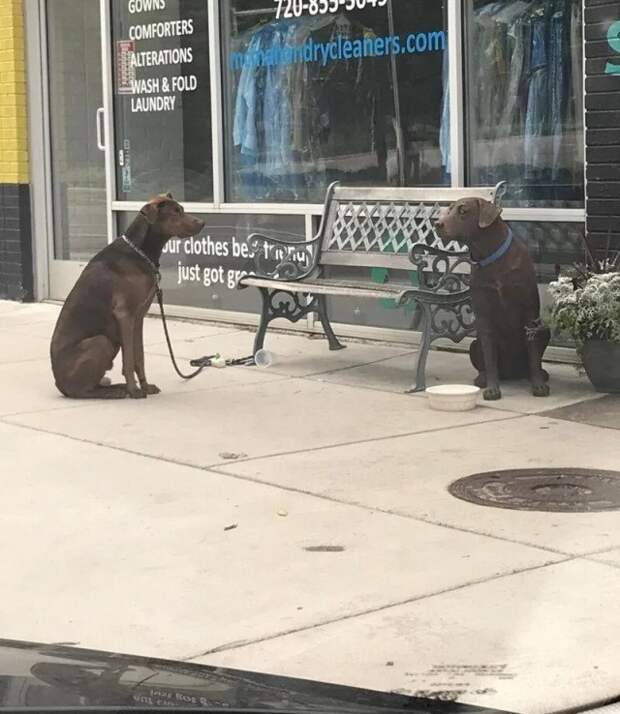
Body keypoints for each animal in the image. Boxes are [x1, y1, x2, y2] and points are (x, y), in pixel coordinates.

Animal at [50, 192, 205, 398]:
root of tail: (59, 384)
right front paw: (134, 390)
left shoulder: (138, 317)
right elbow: (129, 359)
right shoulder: (125, 315)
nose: (203, 222)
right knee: (83, 391)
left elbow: (139, 356)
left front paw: (145, 386)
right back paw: (116, 391)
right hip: (101, 342)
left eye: (182, 209)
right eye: (175, 212)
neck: (140, 252)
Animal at [434, 197, 548, 400]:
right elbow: (490, 357)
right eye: (449, 210)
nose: (437, 224)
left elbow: (534, 354)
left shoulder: (529, 312)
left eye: (463, 211)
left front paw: (539, 385)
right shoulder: (484, 315)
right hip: (474, 344)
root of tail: (513, 373)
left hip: (544, 330)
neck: (491, 257)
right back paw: (482, 378)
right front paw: (492, 388)